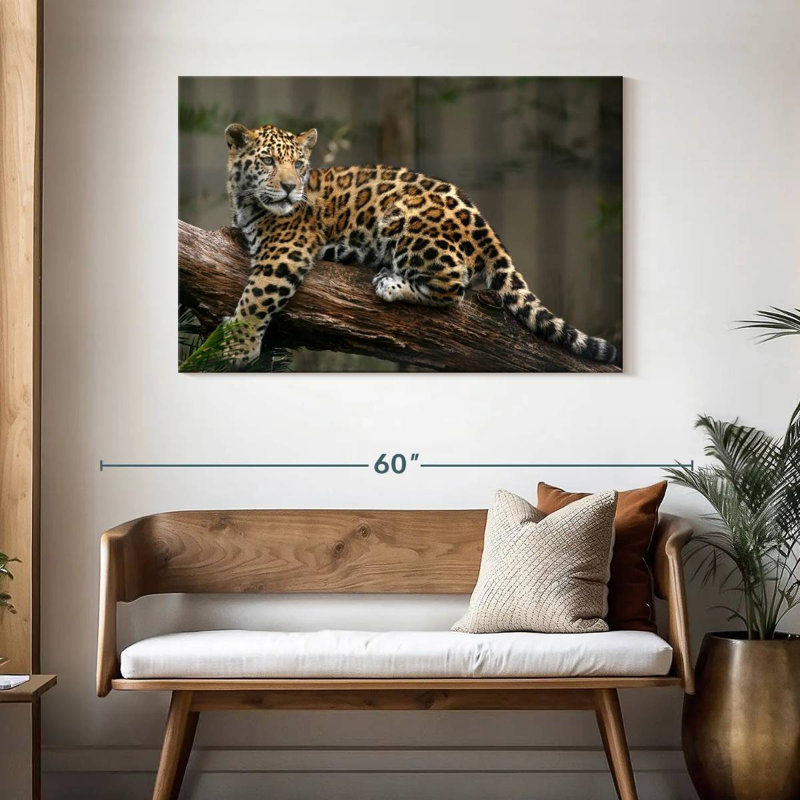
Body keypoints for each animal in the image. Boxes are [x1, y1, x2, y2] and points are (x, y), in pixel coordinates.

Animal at [220, 122, 618, 368]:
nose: (290, 188)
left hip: (405, 223)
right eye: (268, 160)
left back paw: (391, 283)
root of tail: (485, 225)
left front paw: (236, 346)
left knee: (454, 286)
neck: (245, 200)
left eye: (299, 164)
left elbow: (257, 297)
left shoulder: (285, 250)